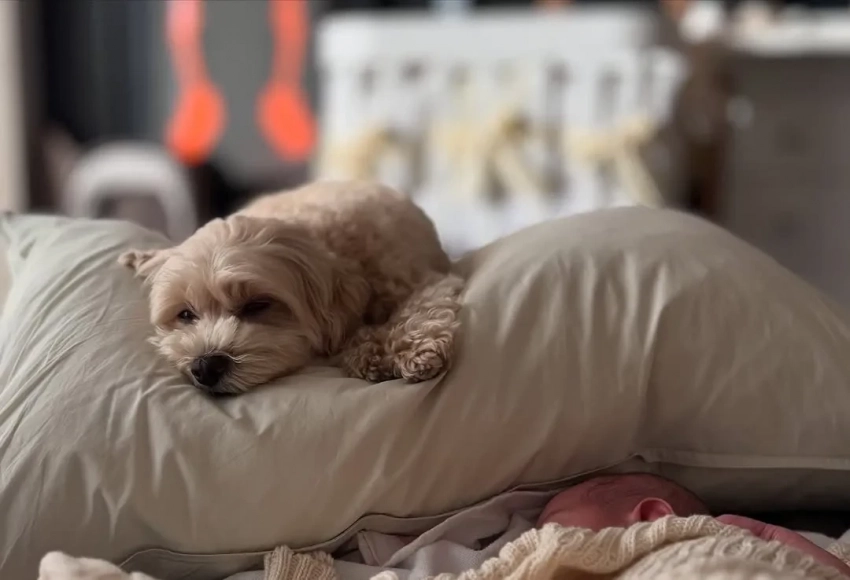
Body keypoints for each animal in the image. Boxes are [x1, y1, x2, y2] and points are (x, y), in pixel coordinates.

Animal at [119, 179, 463, 395]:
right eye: (186, 314)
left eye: (257, 305)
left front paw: (407, 350)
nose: (204, 367)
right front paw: (369, 351)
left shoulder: (420, 280)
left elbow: (421, 308)